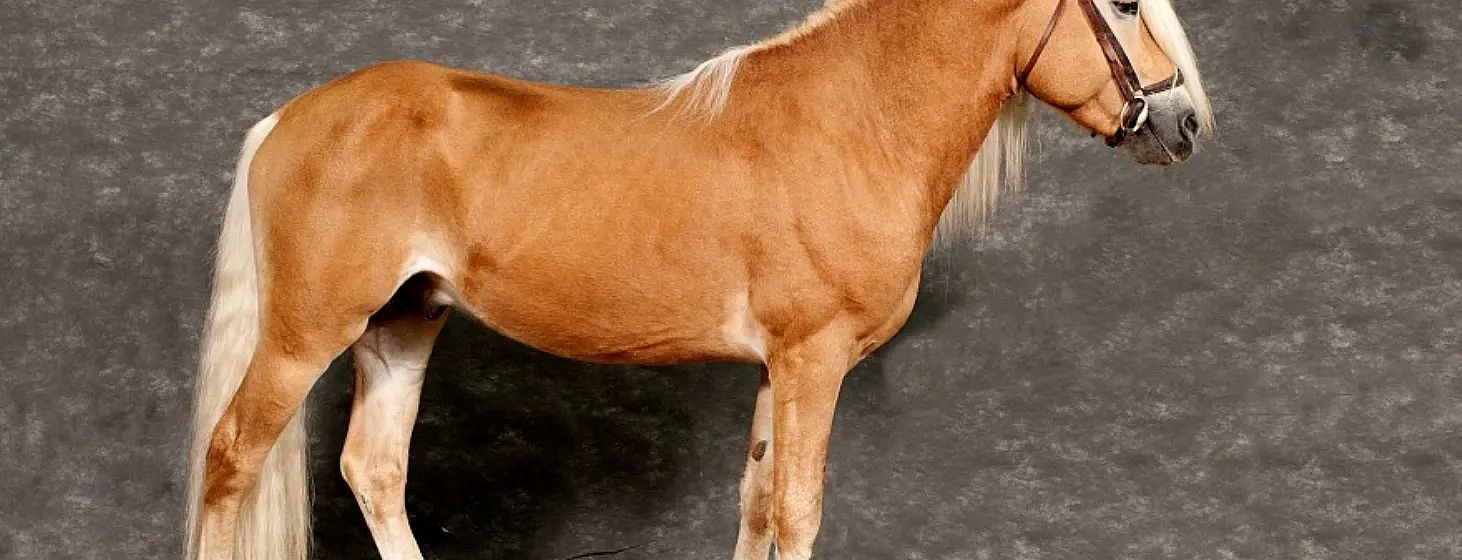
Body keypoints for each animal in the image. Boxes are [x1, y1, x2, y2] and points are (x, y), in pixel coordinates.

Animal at [183, 0, 1213, 558]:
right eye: (1126, 6)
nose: (1184, 125)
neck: (855, 122)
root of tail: (287, 118)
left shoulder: (776, 369)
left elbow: (756, 506)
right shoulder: (813, 362)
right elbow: (798, 513)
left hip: (404, 323)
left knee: (374, 469)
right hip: (305, 335)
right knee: (231, 460)